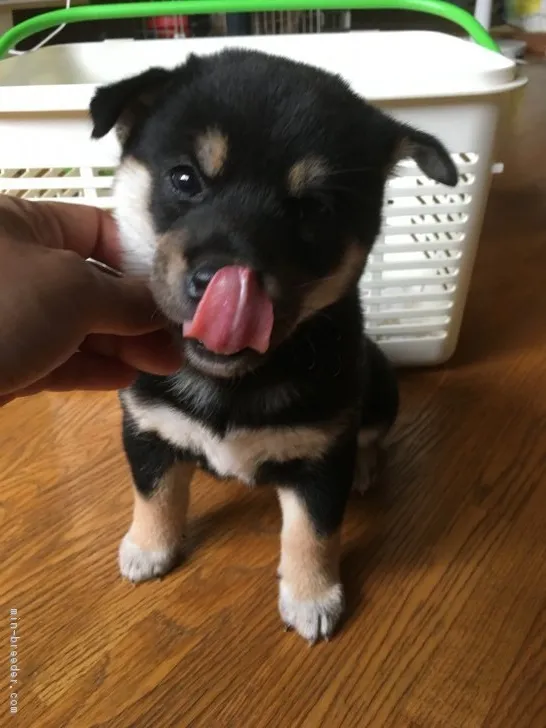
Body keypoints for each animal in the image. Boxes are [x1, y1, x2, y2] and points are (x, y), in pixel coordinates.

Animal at [89, 48, 454, 644]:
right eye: (184, 178)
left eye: (314, 210)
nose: (221, 282)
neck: (229, 381)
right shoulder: (146, 428)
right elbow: (155, 494)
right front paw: (149, 547)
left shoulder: (321, 458)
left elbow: (313, 533)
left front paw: (312, 597)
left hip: (378, 383)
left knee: (372, 435)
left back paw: (366, 470)